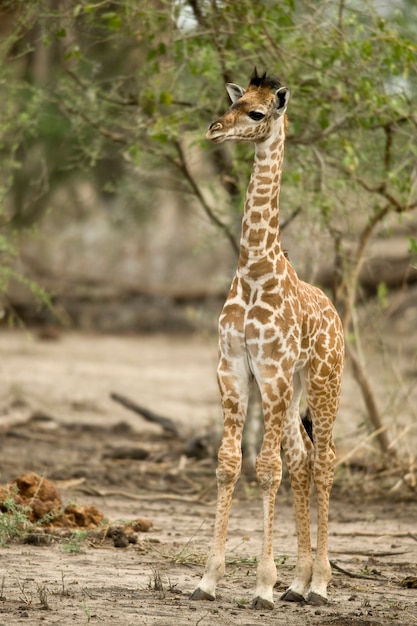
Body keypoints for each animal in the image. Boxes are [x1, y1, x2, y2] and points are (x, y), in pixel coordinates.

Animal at [190, 69, 342, 608]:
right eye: (232, 104)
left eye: (257, 113)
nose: (214, 129)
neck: (255, 269)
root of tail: (337, 316)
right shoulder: (233, 366)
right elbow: (229, 463)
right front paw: (208, 579)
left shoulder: (271, 370)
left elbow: (267, 468)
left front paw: (261, 585)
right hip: (294, 388)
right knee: (303, 457)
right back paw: (299, 582)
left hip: (322, 381)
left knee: (324, 459)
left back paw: (319, 584)